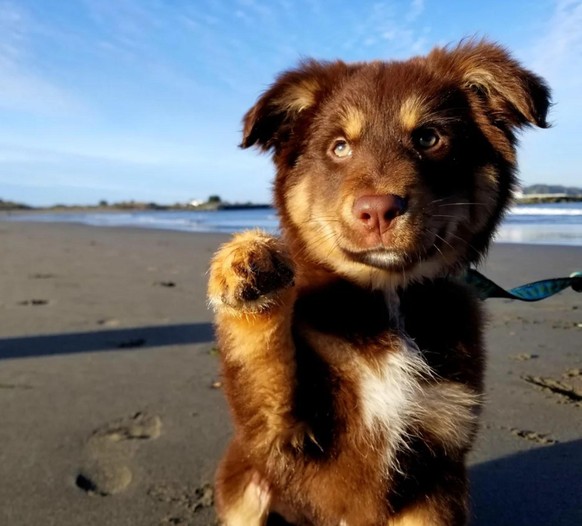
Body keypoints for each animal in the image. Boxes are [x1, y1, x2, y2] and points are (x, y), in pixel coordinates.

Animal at [209, 42, 552, 526]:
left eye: (429, 138)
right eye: (339, 147)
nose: (377, 211)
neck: (387, 292)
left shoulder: (436, 470)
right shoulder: (277, 438)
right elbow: (263, 370)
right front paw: (247, 265)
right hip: (242, 483)